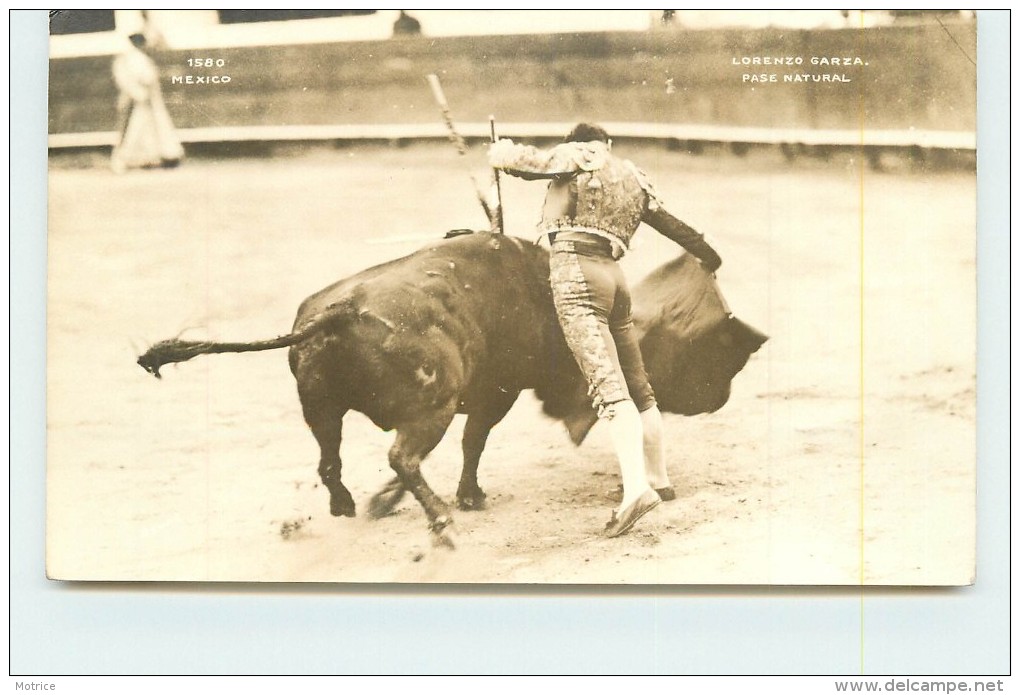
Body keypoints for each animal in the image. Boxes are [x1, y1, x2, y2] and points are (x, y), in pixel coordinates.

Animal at [137, 231, 767, 542]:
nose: (718, 398)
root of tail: (340, 311)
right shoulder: (497, 395)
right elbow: (474, 443)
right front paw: (469, 496)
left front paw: (385, 503)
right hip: (431, 407)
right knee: (403, 456)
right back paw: (439, 518)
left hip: (320, 410)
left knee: (333, 461)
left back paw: (349, 506)